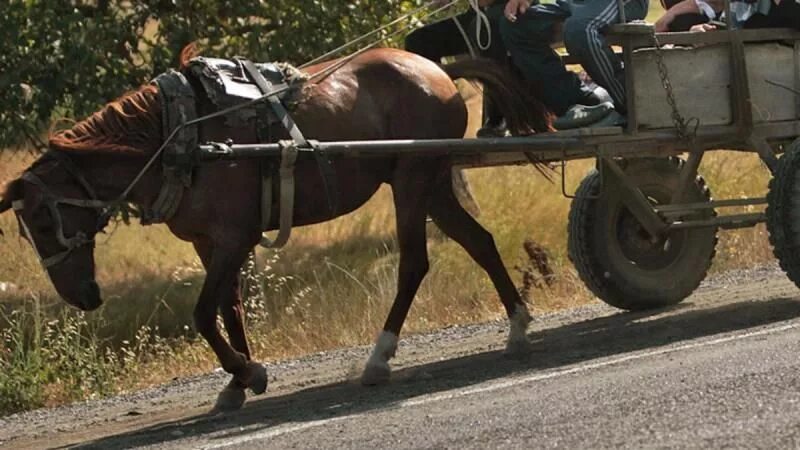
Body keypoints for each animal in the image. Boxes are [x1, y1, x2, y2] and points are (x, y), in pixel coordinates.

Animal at [0, 48, 552, 412]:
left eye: (44, 221)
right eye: (27, 230)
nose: (84, 297)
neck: (180, 139)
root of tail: (438, 69)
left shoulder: (234, 236)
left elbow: (203, 312)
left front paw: (247, 371)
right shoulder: (209, 243)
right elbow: (229, 307)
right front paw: (237, 381)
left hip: (412, 180)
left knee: (415, 262)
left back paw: (379, 356)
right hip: (432, 177)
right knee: (479, 242)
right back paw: (518, 326)